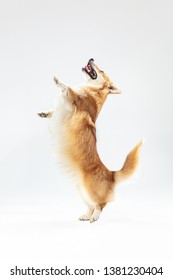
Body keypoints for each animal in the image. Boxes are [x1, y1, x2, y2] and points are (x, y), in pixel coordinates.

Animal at [37, 59, 142, 223]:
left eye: (102, 70)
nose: (91, 58)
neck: (93, 90)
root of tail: (111, 174)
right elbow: (54, 110)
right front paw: (45, 113)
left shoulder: (74, 99)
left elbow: (68, 88)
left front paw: (58, 80)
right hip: (82, 192)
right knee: (91, 205)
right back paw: (87, 215)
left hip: (90, 189)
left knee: (101, 204)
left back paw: (95, 217)